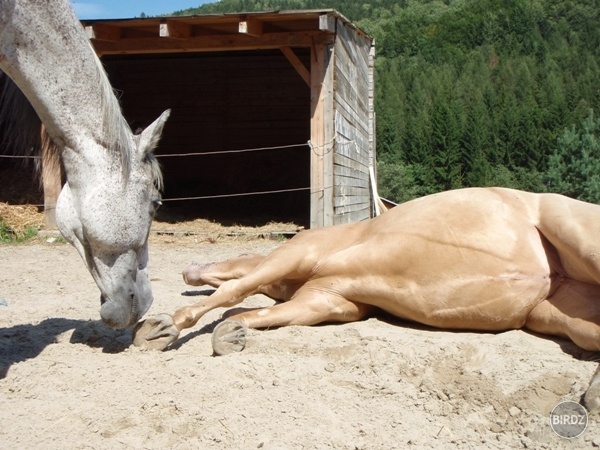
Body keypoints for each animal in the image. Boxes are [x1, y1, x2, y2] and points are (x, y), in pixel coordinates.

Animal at [135, 186, 600, 412]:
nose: (188, 270)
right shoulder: (325, 300)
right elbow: (258, 312)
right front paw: (232, 334)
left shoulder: (296, 256)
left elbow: (236, 289)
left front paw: (164, 326)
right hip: (556, 315)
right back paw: (592, 398)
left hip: (578, 240)